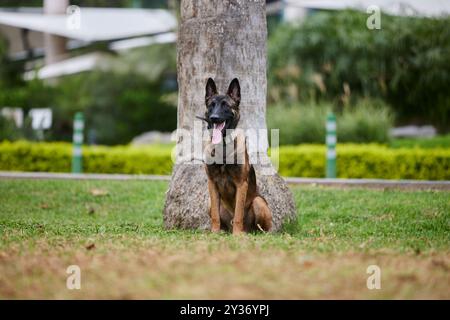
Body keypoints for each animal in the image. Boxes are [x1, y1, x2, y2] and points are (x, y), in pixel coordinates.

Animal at [202, 78, 272, 235]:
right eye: (211, 105)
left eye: (226, 106)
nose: (214, 118)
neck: (222, 147)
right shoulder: (211, 183)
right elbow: (215, 215)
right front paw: (214, 232)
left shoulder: (241, 184)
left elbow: (239, 212)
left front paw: (237, 235)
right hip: (209, 202)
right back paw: (222, 230)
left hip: (258, 202)